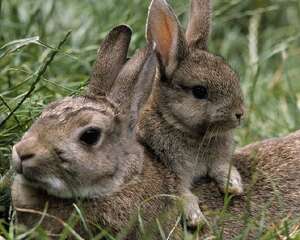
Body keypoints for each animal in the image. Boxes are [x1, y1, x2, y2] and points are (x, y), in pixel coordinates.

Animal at [137, 0, 245, 227]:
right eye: (199, 91)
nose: (239, 113)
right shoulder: (171, 169)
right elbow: (181, 193)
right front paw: (195, 217)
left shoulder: (218, 159)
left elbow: (222, 167)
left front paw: (233, 185)